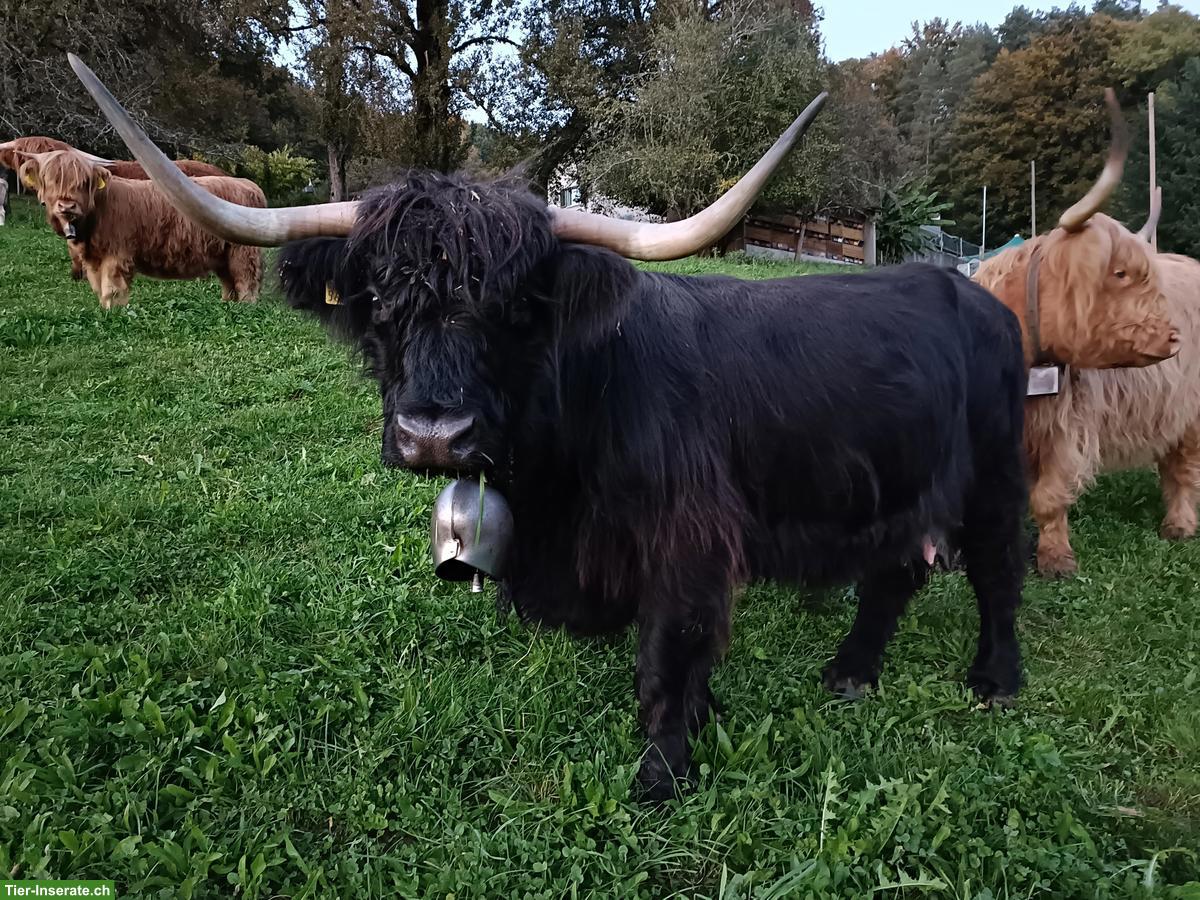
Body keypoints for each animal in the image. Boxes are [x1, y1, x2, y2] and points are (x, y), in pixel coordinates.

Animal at [16, 147, 265, 307]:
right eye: (50, 180)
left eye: (84, 182)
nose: (67, 205)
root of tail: (248, 184)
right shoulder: (95, 261)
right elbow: (100, 289)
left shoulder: (116, 256)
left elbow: (112, 289)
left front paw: (115, 313)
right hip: (222, 254)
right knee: (229, 282)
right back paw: (227, 304)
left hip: (243, 252)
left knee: (246, 281)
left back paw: (245, 308)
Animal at [74, 54, 1033, 801]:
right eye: (381, 300)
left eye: (516, 309)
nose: (434, 434)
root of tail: (969, 290)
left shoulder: (690, 539)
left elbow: (667, 657)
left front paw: (662, 772)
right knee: (896, 571)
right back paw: (851, 672)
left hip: (995, 474)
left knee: (996, 571)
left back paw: (994, 681)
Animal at [974, 94, 1187, 577]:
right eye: (1120, 273)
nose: (1173, 338)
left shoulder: (1064, 426)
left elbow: (1050, 497)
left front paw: (1056, 558)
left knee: (1186, 468)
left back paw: (1180, 526)